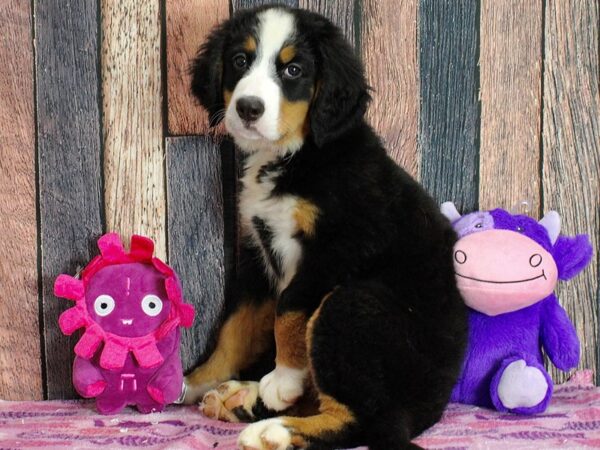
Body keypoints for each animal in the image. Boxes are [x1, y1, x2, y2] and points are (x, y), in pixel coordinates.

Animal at [183, 4, 468, 450]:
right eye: (240, 60)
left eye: (293, 70)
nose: (248, 108)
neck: (294, 155)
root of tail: (422, 413)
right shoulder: (257, 251)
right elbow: (235, 327)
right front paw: (195, 381)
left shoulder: (338, 247)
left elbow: (289, 309)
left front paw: (282, 378)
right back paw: (240, 398)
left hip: (350, 306)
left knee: (358, 417)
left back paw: (274, 428)